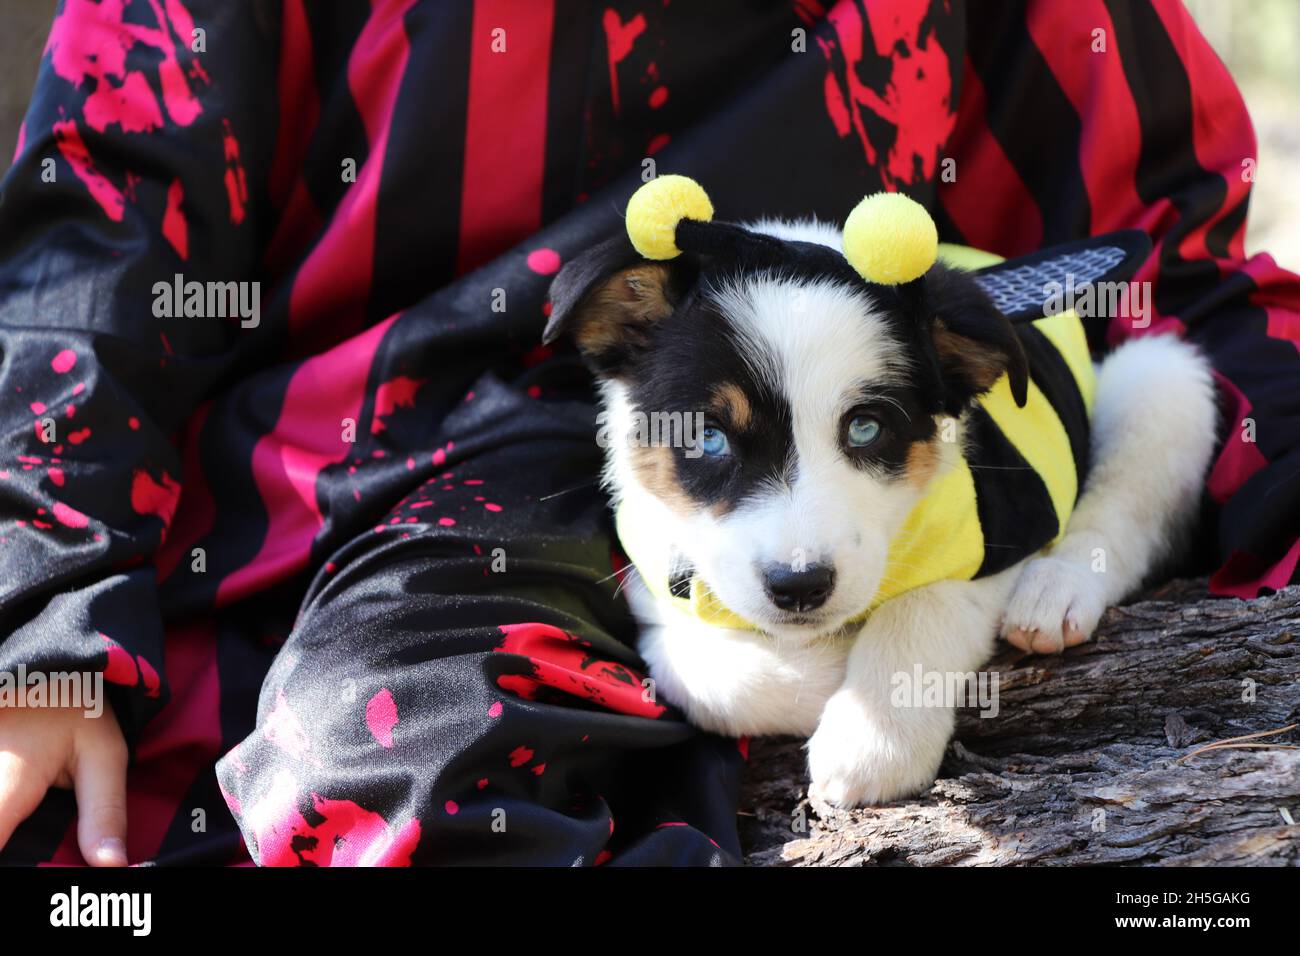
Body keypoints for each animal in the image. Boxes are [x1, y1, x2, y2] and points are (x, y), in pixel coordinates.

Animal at [540, 179, 1216, 806]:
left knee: (1125, 506)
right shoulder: (656, 587)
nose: (800, 588)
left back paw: (1056, 590)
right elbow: (702, 676)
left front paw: (871, 737)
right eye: (708, 437)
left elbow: (921, 606)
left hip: (1160, 378)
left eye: (866, 428)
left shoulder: (998, 526)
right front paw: (827, 670)